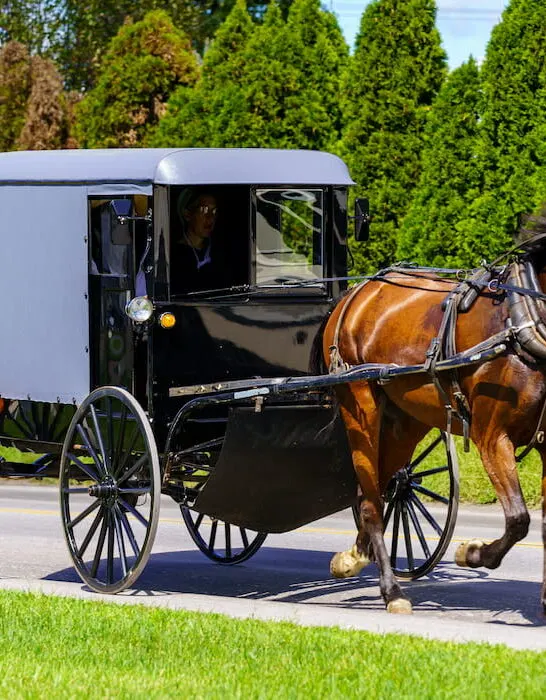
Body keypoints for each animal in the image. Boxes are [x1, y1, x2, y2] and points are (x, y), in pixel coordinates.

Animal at [316, 234, 544, 612]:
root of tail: (355, 293)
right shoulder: (492, 436)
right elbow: (518, 520)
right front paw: (472, 552)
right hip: (359, 406)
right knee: (372, 502)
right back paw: (392, 590)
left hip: (405, 421)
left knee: (378, 489)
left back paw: (355, 556)